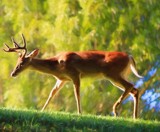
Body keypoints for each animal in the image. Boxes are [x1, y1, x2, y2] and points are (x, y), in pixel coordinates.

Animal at [3, 34, 142, 118]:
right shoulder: (62, 79)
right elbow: (52, 93)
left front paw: (80, 113)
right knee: (135, 89)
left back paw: (115, 110)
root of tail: (130, 57)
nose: (13, 73)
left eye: (21, 63)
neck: (57, 64)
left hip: (112, 73)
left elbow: (77, 94)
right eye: (17, 62)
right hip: (119, 75)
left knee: (130, 86)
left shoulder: (75, 73)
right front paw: (42, 110)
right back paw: (135, 117)